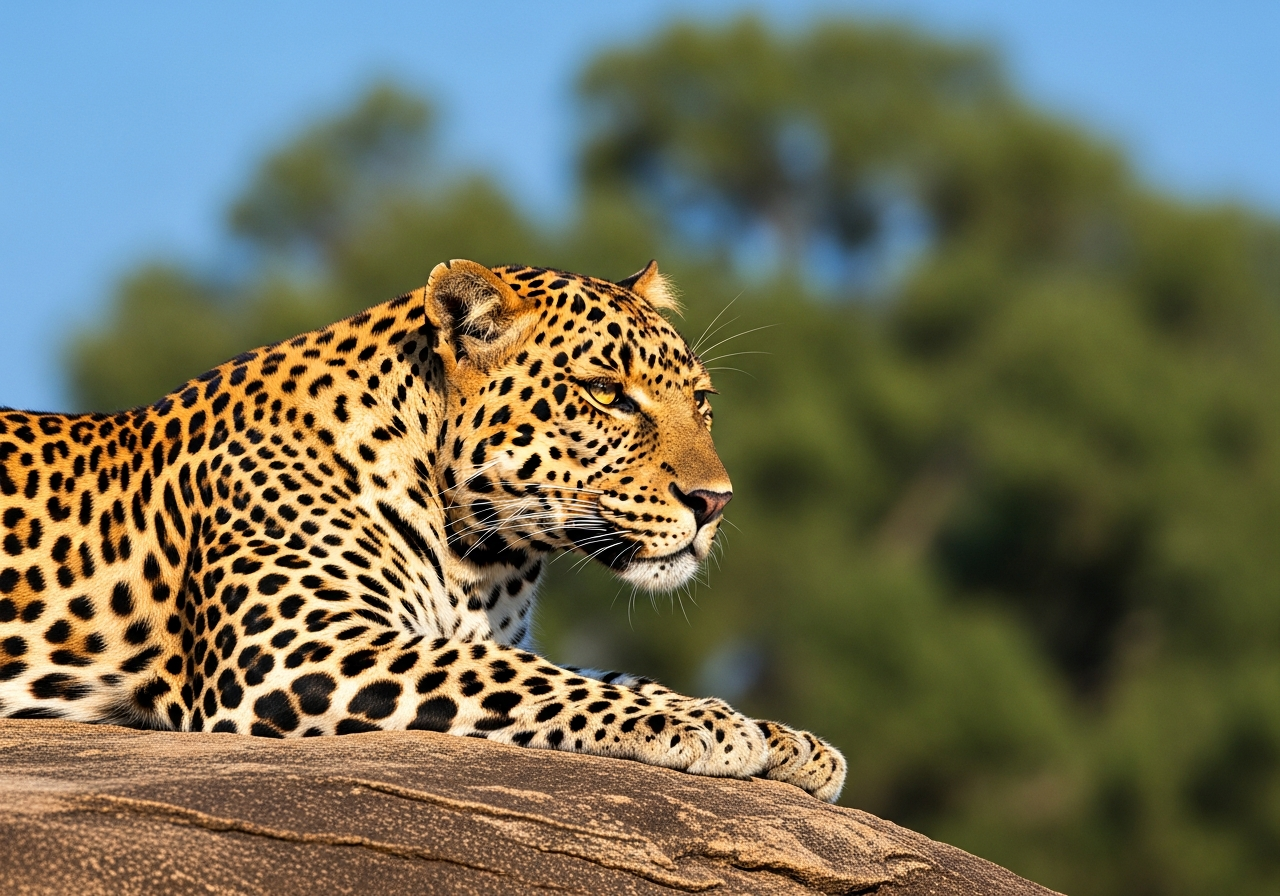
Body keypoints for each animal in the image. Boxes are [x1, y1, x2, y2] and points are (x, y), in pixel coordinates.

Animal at [0, 259, 846, 802]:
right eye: (607, 395)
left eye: (701, 401)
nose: (716, 502)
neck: (488, 552)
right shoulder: (291, 651)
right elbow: (527, 679)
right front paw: (708, 724)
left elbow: (595, 672)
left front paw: (785, 739)